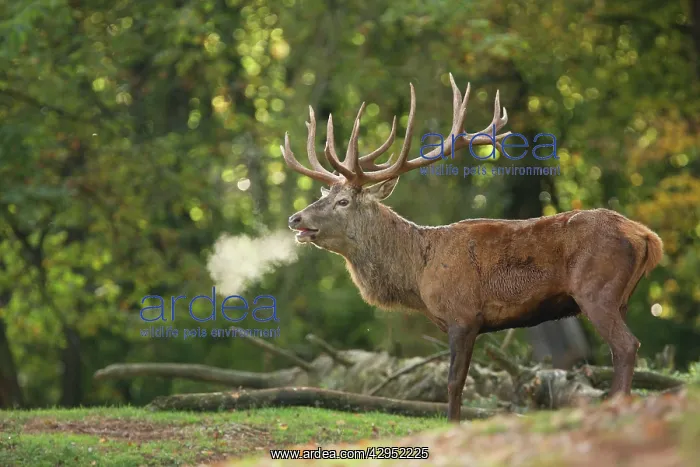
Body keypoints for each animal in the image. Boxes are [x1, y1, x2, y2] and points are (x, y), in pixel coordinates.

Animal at [281, 74, 664, 422]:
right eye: (324, 195)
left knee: (626, 346)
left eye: (343, 201)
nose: (295, 218)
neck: (418, 273)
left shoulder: (463, 315)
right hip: (621, 297)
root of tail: (646, 236)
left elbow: (454, 383)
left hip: (596, 290)